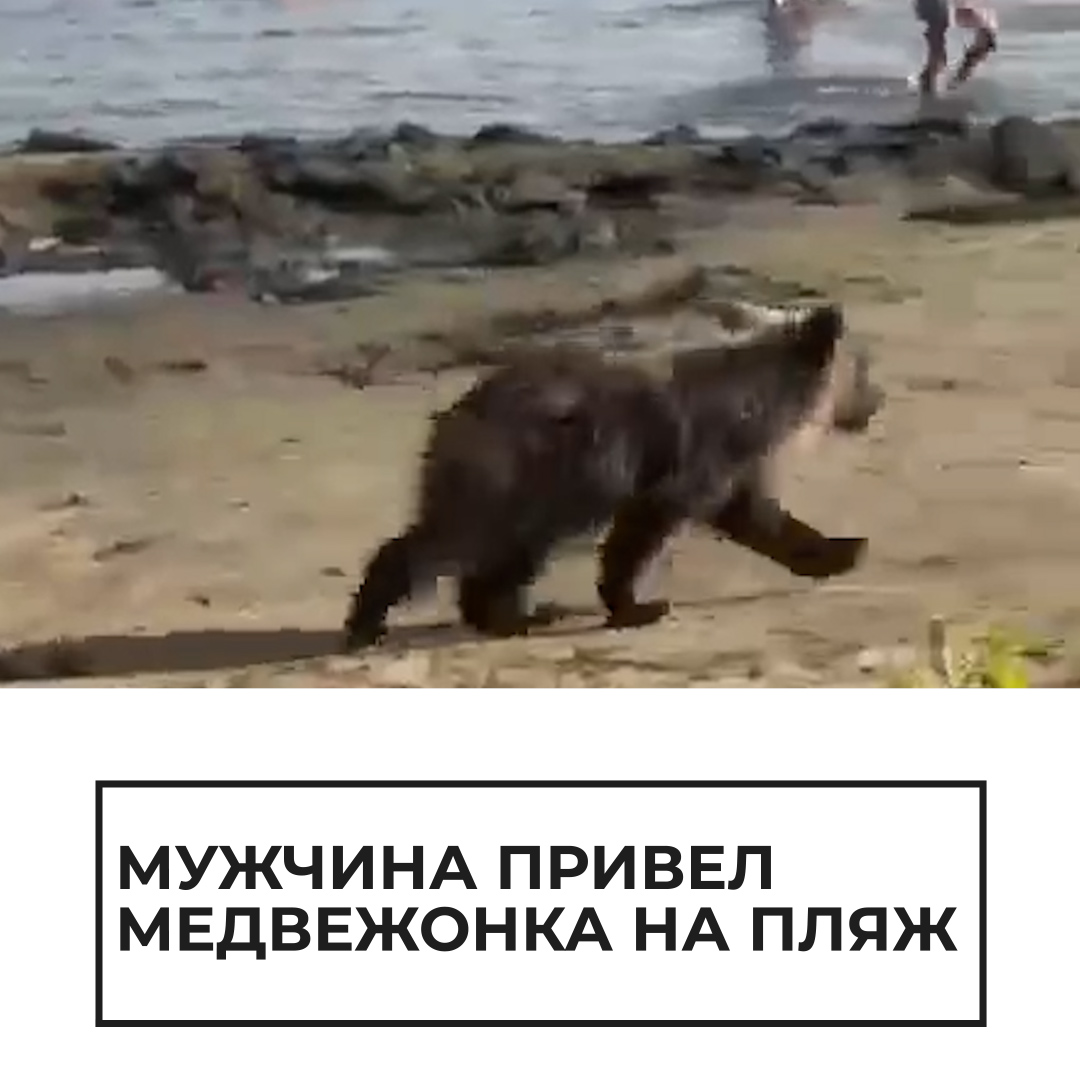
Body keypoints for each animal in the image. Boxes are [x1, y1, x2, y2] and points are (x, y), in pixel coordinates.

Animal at [342, 300, 884, 650]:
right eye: (863, 369)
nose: (878, 401)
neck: (765, 401)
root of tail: (453, 415)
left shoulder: (734, 461)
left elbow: (757, 516)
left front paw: (841, 550)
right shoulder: (696, 453)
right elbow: (649, 527)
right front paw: (639, 605)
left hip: (540, 494)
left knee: (509, 554)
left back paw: (517, 616)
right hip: (516, 472)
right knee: (454, 537)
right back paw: (368, 623)